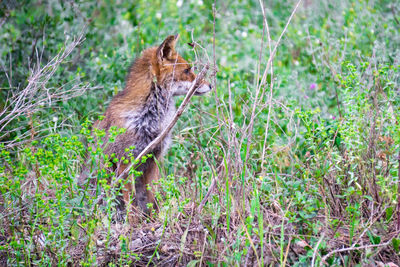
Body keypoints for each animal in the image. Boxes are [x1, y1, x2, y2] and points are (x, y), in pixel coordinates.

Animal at [81, 34, 212, 219]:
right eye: (187, 70)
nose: (211, 85)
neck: (147, 119)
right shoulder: (126, 163)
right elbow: (132, 203)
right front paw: (134, 223)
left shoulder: (153, 158)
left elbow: (152, 197)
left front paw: (153, 220)